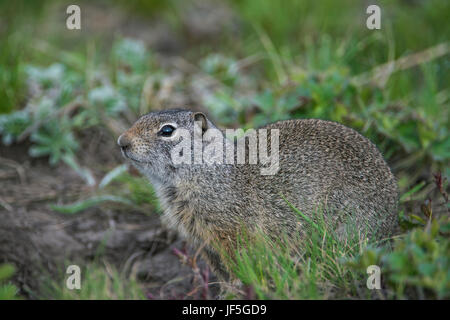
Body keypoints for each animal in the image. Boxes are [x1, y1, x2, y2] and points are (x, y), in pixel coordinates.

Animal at [118, 109, 400, 278]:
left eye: (167, 130)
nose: (122, 142)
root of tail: (392, 220)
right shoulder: (203, 240)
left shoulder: (230, 232)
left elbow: (238, 264)